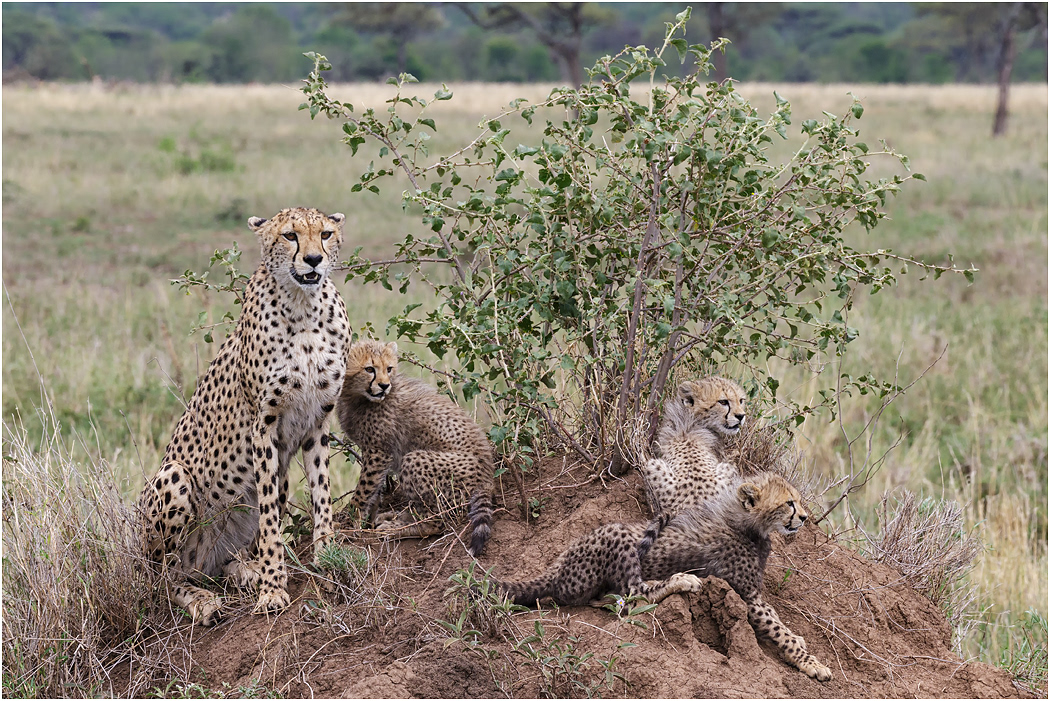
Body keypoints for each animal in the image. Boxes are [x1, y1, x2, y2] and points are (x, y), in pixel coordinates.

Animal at [137, 207, 350, 626]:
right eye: (289, 235)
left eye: (325, 234)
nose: (313, 260)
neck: (304, 307)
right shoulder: (263, 425)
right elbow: (269, 520)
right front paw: (273, 588)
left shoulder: (318, 420)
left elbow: (321, 494)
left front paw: (327, 555)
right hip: (173, 479)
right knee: (163, 580)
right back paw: (202, 600)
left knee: (214, 565)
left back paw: (242, 569)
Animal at [336, 339, 494, 556]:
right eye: (369, 369)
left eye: (389, 368)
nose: (384, 385)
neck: (356, 397)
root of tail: (488, 478)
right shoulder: (375, 453)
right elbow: (374, 490)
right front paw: (366, 521)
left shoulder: (378, 451)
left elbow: (363, 490)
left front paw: (349, 523)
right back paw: (395, 518)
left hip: (416, 460)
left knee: (437, 522)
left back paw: (396, 529)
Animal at [495, 472, 832, 682]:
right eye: (789, 503)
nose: (804, 518)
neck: (747, 524)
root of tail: (559, 562)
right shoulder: (746, 596)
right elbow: (779, 629)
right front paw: (811, 663)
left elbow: (781, 623)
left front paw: (803, 647)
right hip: (618, 536)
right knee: (633, 596)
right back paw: (680, 580)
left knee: (611, 599)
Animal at [639, 376, 749, 518]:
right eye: (723, 402)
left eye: (741, 400)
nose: (741, 416)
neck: (691, 417)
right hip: (728, 469)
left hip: (652, 464)